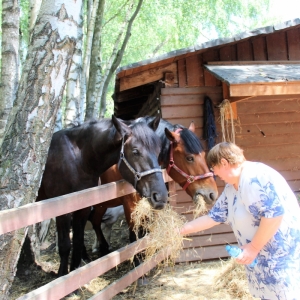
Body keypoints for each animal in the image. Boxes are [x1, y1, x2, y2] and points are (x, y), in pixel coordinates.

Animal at [35, 115, 169, 276]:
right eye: (135, 151)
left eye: (158, 151)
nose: (160, 196)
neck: (78, 159)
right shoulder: (62, 212)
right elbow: (65, 245)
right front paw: (62, 275)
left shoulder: (83, 209)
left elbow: (78, 242)